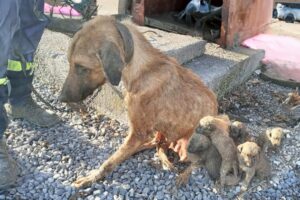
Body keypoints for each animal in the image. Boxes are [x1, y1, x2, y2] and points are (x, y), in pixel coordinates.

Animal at [59, 15, 218, 188]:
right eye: (69, 62)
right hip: (162, 131)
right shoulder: (139, 133)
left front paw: (93, 176)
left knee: (195, 161)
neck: (141, 70)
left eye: (82, 67)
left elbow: (109, 162)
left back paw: (183, 176)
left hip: (188, 144)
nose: (61, 98)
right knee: (156, 144)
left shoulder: (138, 132)